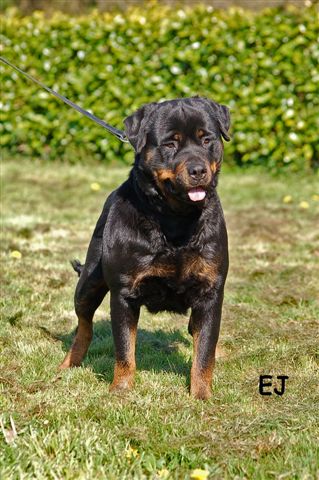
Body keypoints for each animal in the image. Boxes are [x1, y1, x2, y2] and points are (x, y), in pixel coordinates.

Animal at [60, 95, 230, 400]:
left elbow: (204, 351)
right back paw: (70, 361)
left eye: (206, 139)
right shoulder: (123, 294)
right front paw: (121, 389)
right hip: (89, 281)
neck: (175, 220)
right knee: (84, 322)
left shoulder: (211, 292)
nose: (198, 170)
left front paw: (201, 395)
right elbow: (124, 348)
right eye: (170, 143)